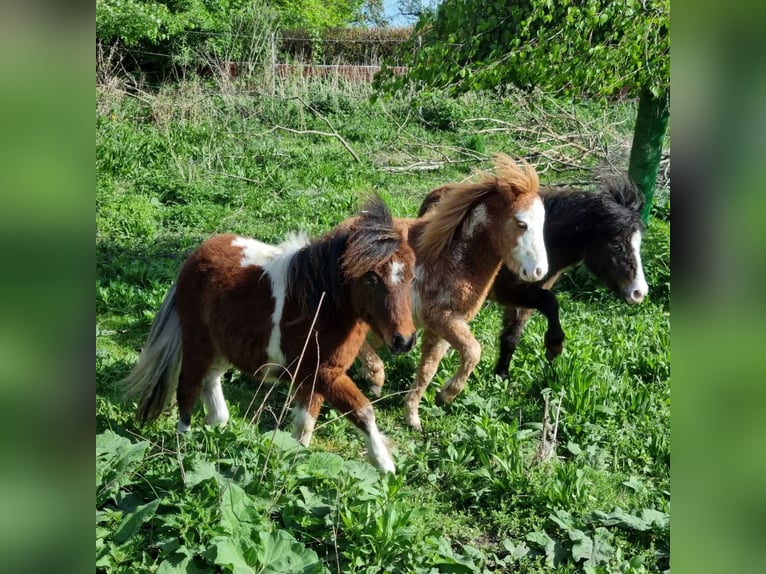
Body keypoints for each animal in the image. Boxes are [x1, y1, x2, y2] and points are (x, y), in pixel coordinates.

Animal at [124, 196, 420, 474]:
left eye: (411, 277)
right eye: (371, 278)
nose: (404, 341)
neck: (318, 305)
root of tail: (193, 259)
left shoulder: (313, 380)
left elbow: (305, 425)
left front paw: (293, 464)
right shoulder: (324, 374)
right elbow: (364, 411)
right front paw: (386, 465)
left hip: (224, 348)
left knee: (211, 383)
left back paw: (218, 432)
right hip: (198, 344)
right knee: (188, 389)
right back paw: (183, 451)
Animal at [356, 154, 548, 432]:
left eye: (543, 224)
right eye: (521, 223)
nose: (538, 271)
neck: (453, 257)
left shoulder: (441, 329)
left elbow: (428, 369)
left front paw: (414, 416)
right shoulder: (443, 319)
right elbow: (473, 351)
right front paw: (446, 394)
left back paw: (368, 378)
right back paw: (375, 376)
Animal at [416, 176, 652, 382]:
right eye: (616, 244)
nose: (639, 292)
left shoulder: (524, 298)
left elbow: (512, 336)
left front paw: (502, 376)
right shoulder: (510, 292)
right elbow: (550, 302)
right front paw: (554, 345)